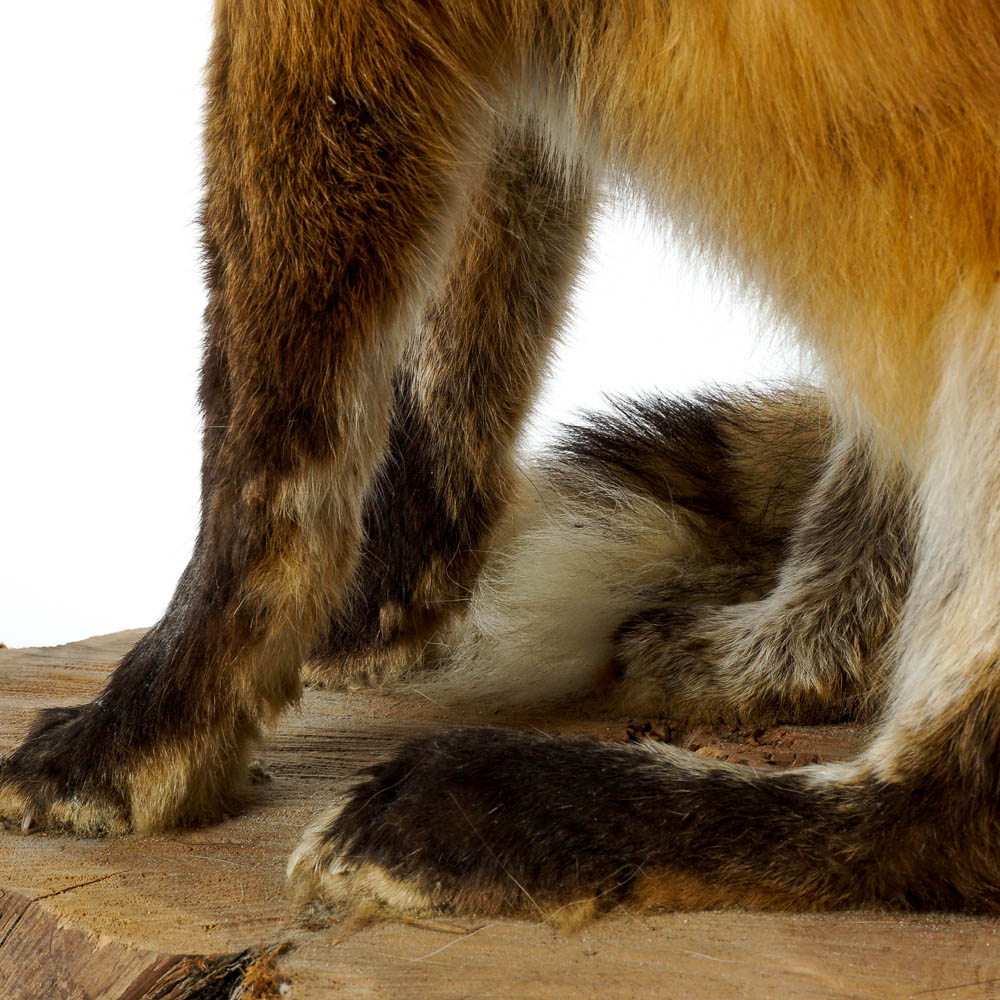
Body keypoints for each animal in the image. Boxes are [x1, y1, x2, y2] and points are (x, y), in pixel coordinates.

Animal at [3, 0, 1000, 917]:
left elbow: (257, 434)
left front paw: (138, 737)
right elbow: (443, 357)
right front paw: (386, 606)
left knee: (949, 821)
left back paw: (506, 812)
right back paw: (753, 660)